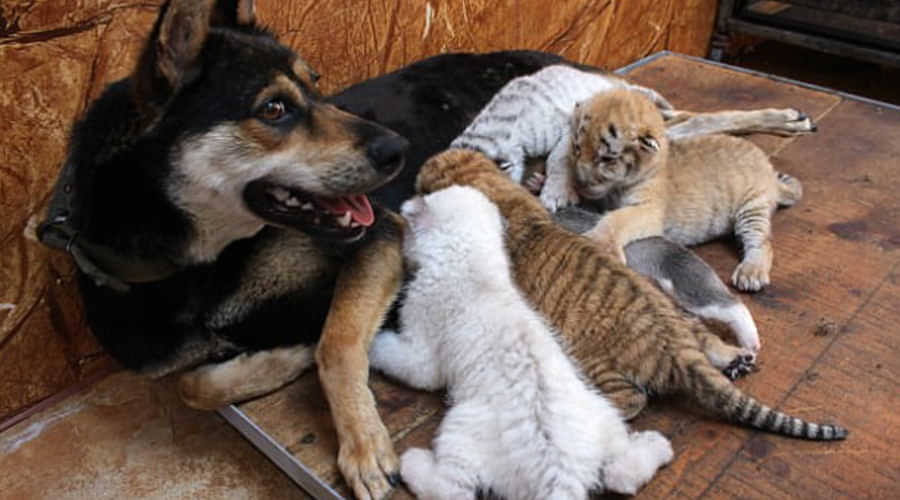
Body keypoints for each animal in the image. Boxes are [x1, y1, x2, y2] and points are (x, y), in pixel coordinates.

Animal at [414, 148, 847, 441]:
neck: (501, 195)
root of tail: (675, 349)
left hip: (646, 320)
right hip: (679, 313)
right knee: (707, 337)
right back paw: (735, 358)